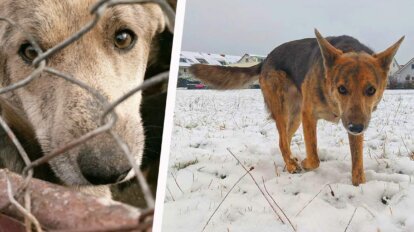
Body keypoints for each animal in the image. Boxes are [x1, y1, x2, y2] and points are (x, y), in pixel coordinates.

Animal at [191, 30, 404, 187]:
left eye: (371, 90)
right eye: (342, 88)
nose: (356, 128)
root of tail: (266, 59)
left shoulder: (355, 121)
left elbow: (358, 165)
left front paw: (359, 185)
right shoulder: (309, 115)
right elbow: (315, 157)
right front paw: (305, 163)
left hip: (295, 117)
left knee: (284, 138)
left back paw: (290, 160)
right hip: (284, 110)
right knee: (281, 141)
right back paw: (292, 165)